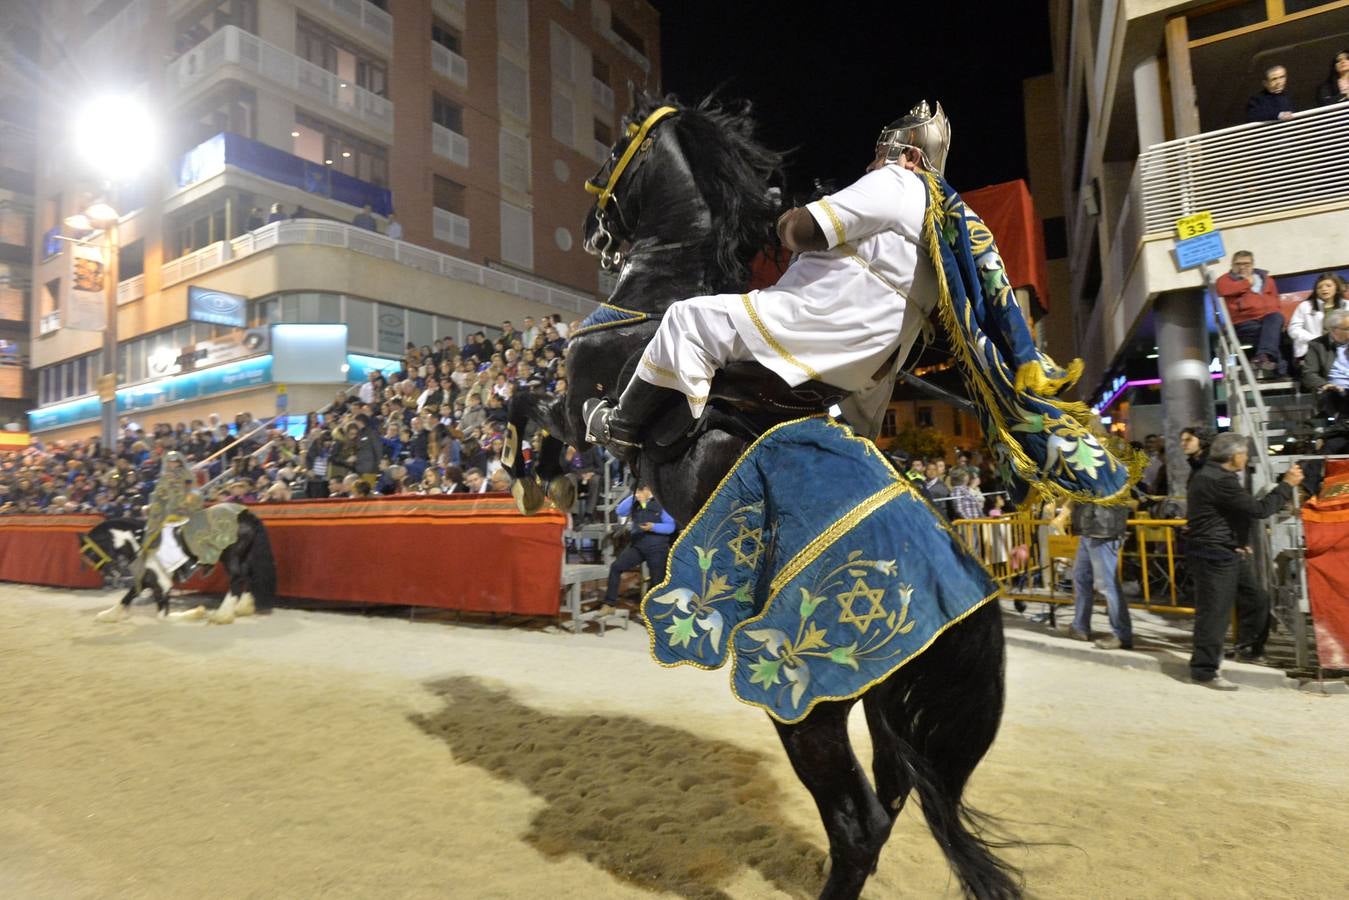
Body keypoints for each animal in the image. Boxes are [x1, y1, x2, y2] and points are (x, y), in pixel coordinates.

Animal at [80, 512, 276, 626]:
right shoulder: (148, 580)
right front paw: (108, 615)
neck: (140, 542)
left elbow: (163, 616)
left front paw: (198, 613)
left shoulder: (160, 584)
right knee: (248, 575)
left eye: (90, 553)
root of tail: (245, 515)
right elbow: (127, 597)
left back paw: (221, 615)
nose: (110, 574)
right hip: (244, 555)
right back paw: (243, 608)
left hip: (230, 556)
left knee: (238, 578)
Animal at [501, 95, 1014, 895]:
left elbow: (531, 405)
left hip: (807, 707)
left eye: (615, 147)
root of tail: (968, 591)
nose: (593, 230)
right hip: (883, 708)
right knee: (894, 797)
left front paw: (531, 476)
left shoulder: (580, 397)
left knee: (858, 823)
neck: (663, 283)